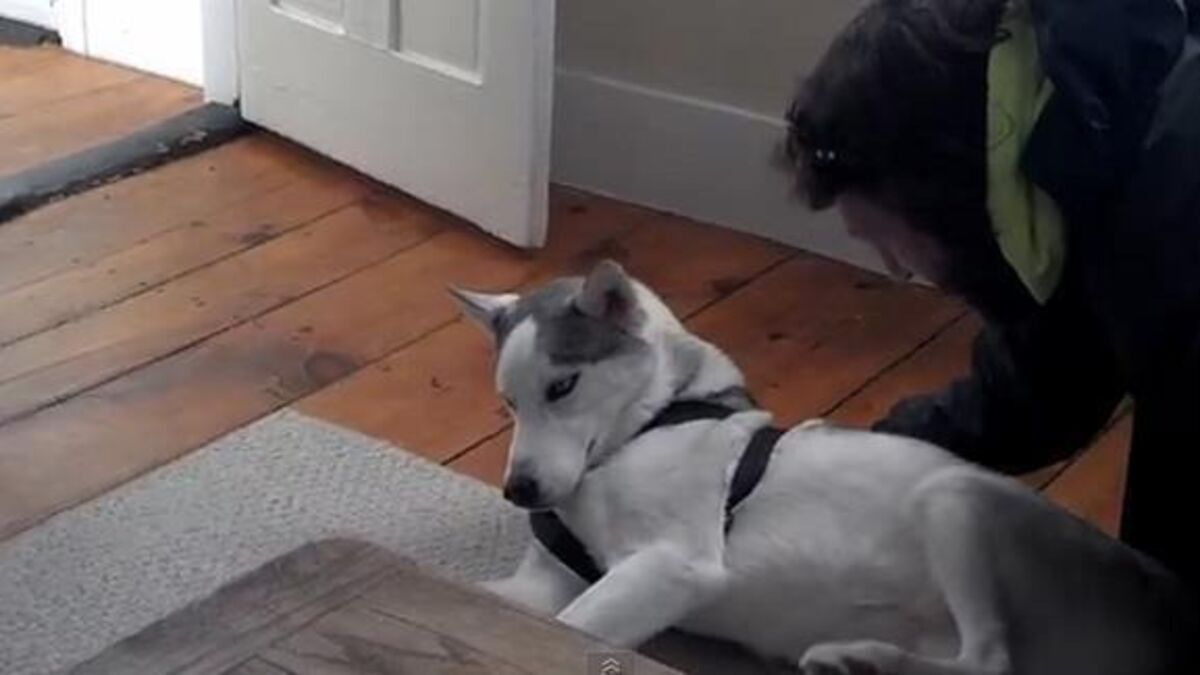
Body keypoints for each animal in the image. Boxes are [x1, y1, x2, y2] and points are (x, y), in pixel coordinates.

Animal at [451, 259, 1195, 675]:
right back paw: (857, 659)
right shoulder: (545, 583)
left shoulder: (675, 563)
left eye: (563, 387)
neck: (647, 422)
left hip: (952, 495)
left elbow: (571, 626)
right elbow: (489, 600)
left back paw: (863, 662)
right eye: (508, 401)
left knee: (992, 661)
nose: (519, 490)